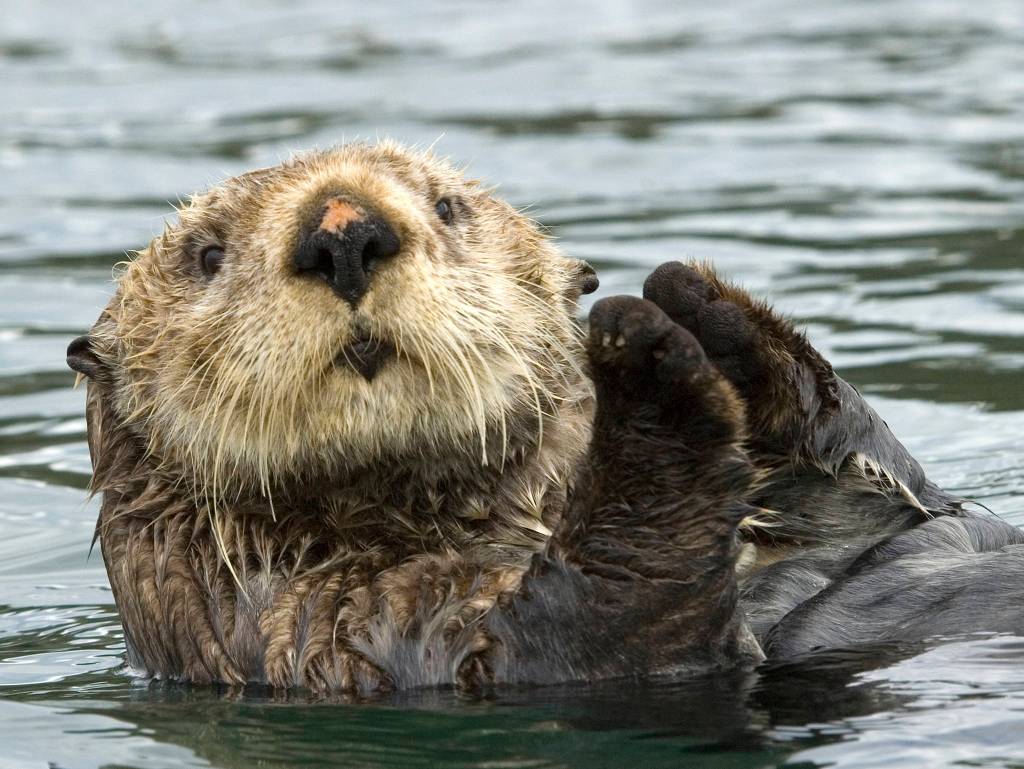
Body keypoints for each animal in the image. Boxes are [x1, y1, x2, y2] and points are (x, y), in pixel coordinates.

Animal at [67, 141, 1024, 692]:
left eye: (446, 204)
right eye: (206, 254)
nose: (343, 232)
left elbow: (898, 501)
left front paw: (695, 300)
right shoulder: (334, 630)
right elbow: (595, 623)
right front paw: (643, 356)